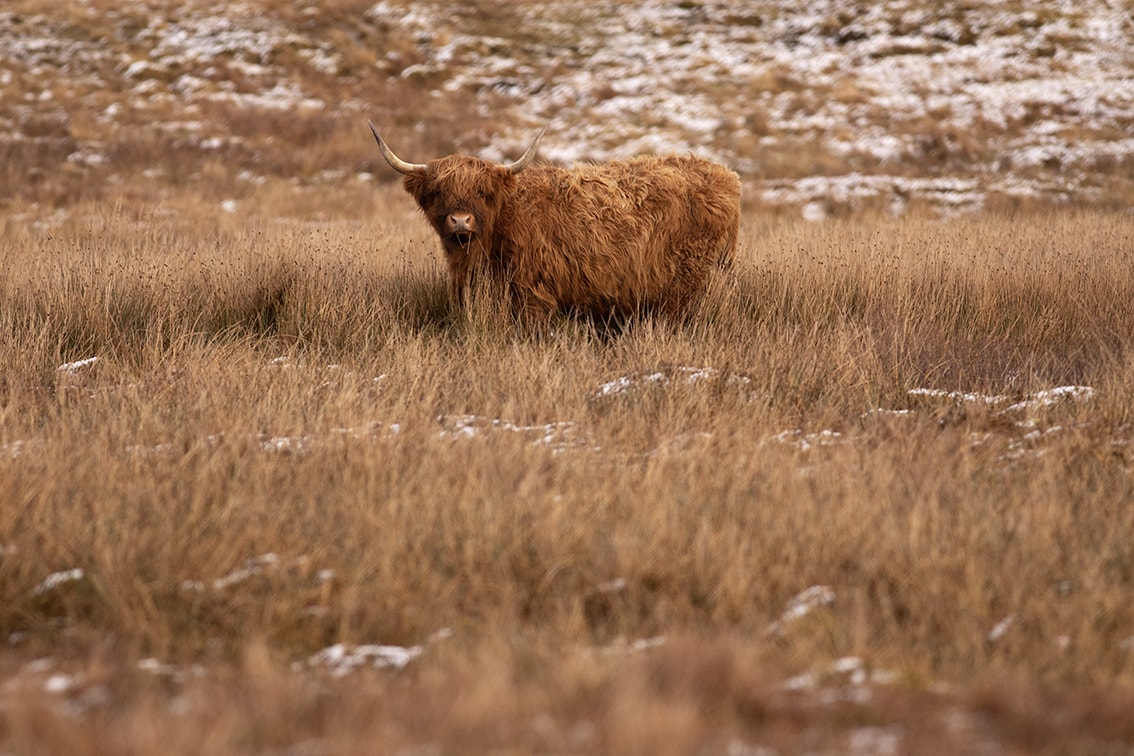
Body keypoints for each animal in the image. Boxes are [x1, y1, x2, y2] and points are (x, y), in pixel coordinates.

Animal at [371, 121, 739, 326]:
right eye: (438, 192)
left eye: (483, 192)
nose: (461, 220)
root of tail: (725, 174)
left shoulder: (533, 295)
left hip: (691, 281)